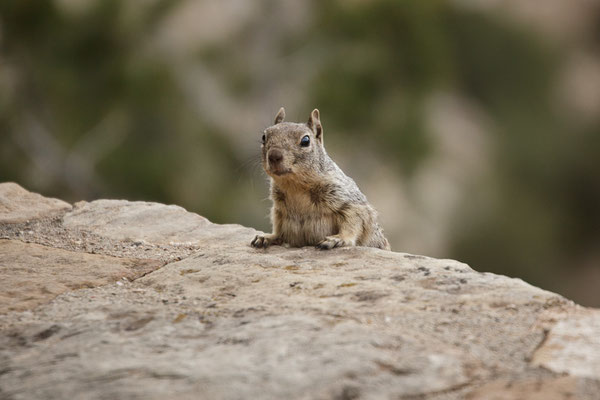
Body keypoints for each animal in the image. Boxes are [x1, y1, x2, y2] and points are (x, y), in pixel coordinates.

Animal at [251, 106, 392, 250]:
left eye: (305, 141)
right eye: (264, 136)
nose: (274, 155)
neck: (295, 187)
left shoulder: (348, 201)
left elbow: (354, 222)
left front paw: (338, 239)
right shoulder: (278, 210)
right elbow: (278, 229)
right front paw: (268, 237)